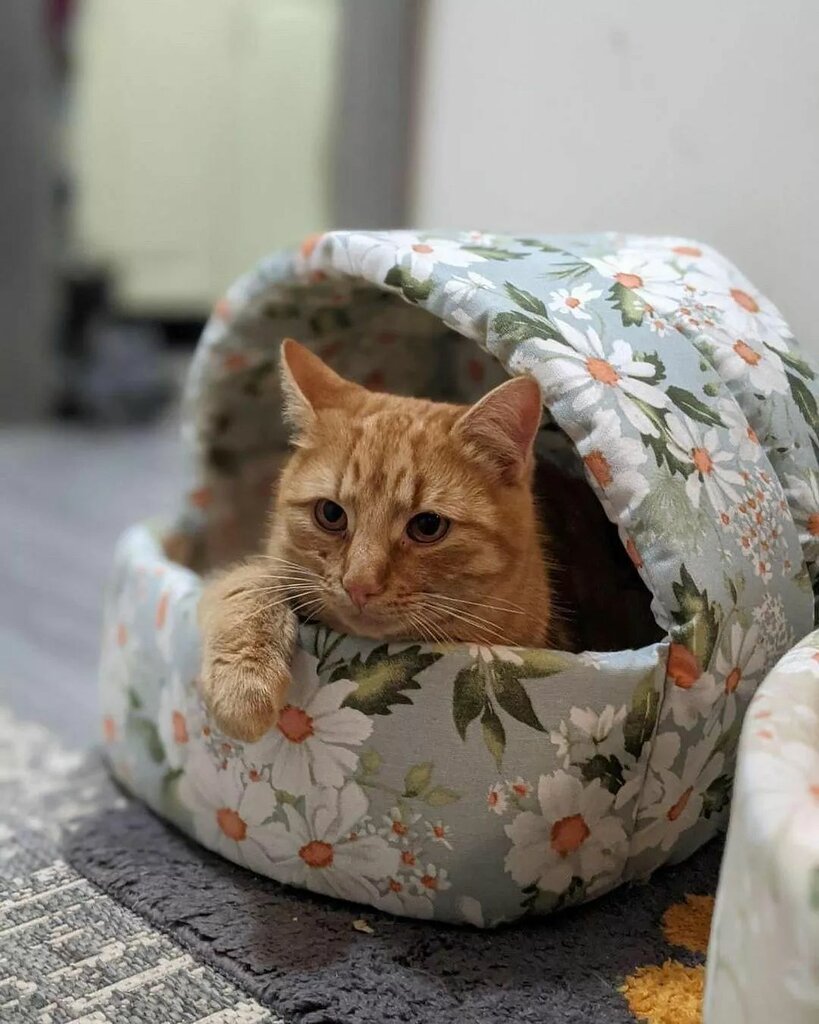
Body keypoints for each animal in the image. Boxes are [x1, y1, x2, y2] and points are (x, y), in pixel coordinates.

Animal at [198, 338, 562, 742]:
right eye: (330, 513)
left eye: (428, 526)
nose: (358, 584)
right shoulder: (272, 567)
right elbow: (248, 580)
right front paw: (243, 683)